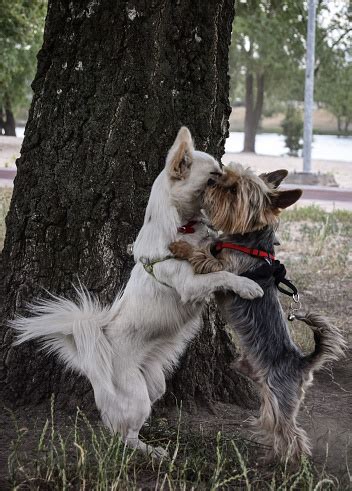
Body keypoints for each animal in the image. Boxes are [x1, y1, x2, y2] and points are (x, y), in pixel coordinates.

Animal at [11, 127, 262, 458]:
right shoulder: (189, 284)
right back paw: (150, 450)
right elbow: (221, 274)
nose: (232, 179)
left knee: (128, 422)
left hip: (154, 383)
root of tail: (95, 354)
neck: (182, 228)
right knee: (123, 436)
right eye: (213, 177)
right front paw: (247, 285)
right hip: (137, 395)